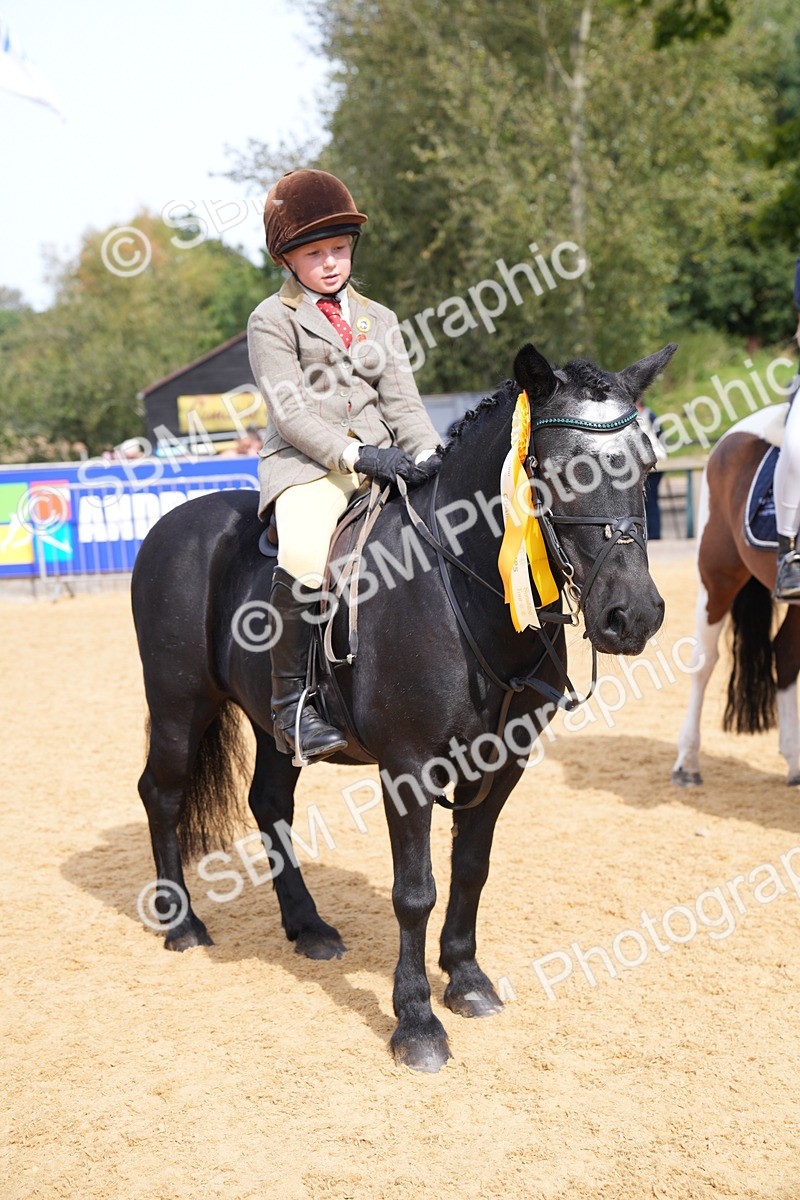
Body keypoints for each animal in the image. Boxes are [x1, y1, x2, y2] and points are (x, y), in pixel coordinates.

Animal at [131, 340, 674, 1073]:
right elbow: (415, 892)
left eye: (647, 466)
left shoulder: (502, 765)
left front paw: (467, 981)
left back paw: (308, 927)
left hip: (276, 728)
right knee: (161, 794)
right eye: (558, 468)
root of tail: (175, 520)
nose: (632, 615)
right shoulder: (409, 768)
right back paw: (183, 923)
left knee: (269, 803)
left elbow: (471, 870)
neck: (462, 589)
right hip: (177, 704)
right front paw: (416, 1021)